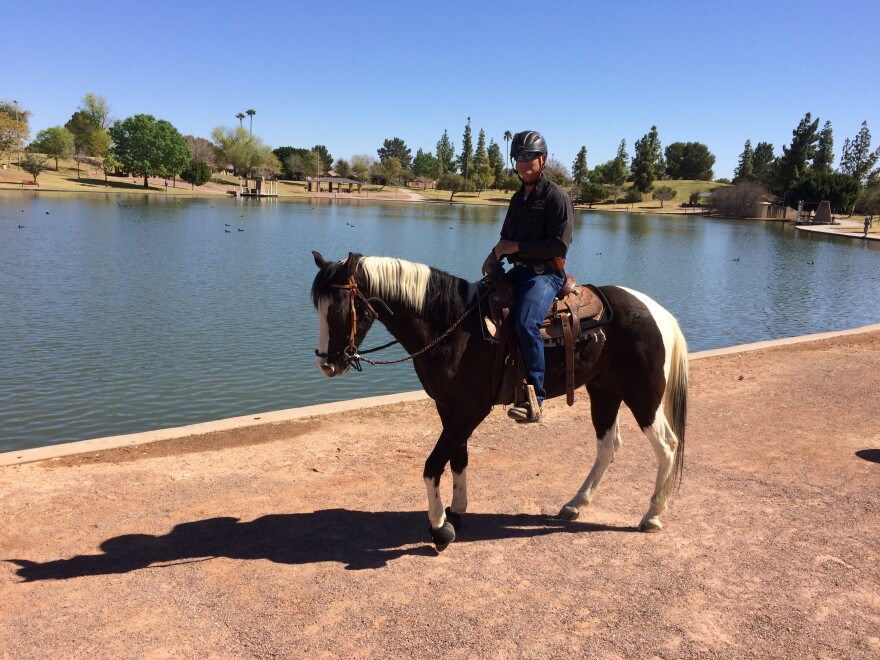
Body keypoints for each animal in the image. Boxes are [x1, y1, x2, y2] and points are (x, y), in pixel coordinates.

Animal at [311, 251, 688, 550]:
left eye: (340, 305)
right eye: (317, 305)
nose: (327, 363)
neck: (451, 326)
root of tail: (655, 310)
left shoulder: (471, 409)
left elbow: (433, 464)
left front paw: (438, 527)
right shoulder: (448, 407)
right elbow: (458, 458)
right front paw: (456, 512)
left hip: (642, 395)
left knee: (667, 445)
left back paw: (652, 514)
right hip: (604, 391)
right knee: (608, 446)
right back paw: (575, 503)